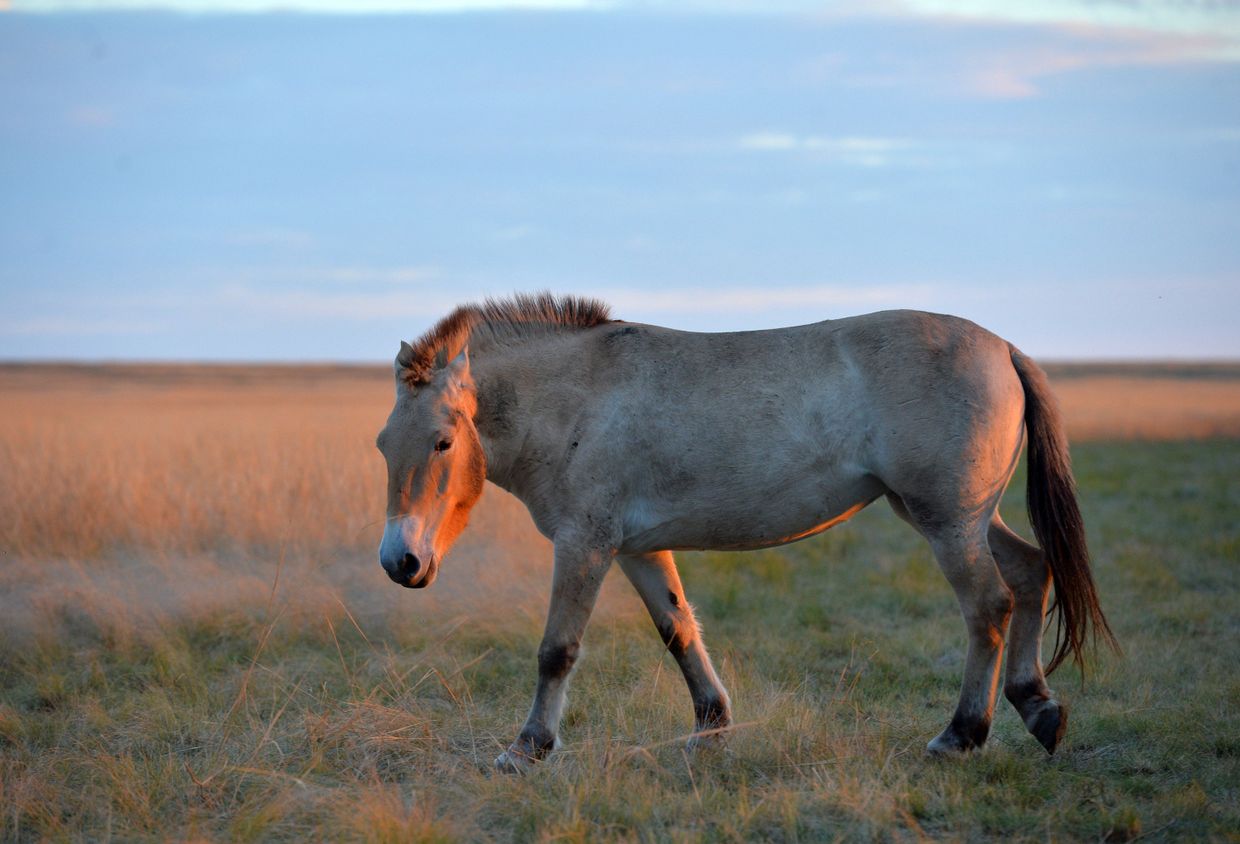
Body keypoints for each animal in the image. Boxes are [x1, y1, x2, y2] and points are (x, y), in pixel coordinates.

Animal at [375, 293, 1116, 772]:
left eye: (443, 442)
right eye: (384, 444)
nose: (399, 562)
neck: (578, 395)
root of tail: (1004, 348)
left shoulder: (584, 545)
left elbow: (557, 650)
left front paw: (527, 748)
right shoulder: (637, 549)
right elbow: (679, 631)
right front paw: (711, 728)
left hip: (948, 523)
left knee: (989, 606)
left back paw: (961, 735)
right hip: (962, 518)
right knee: (1030, 573)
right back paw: (1037, 708)